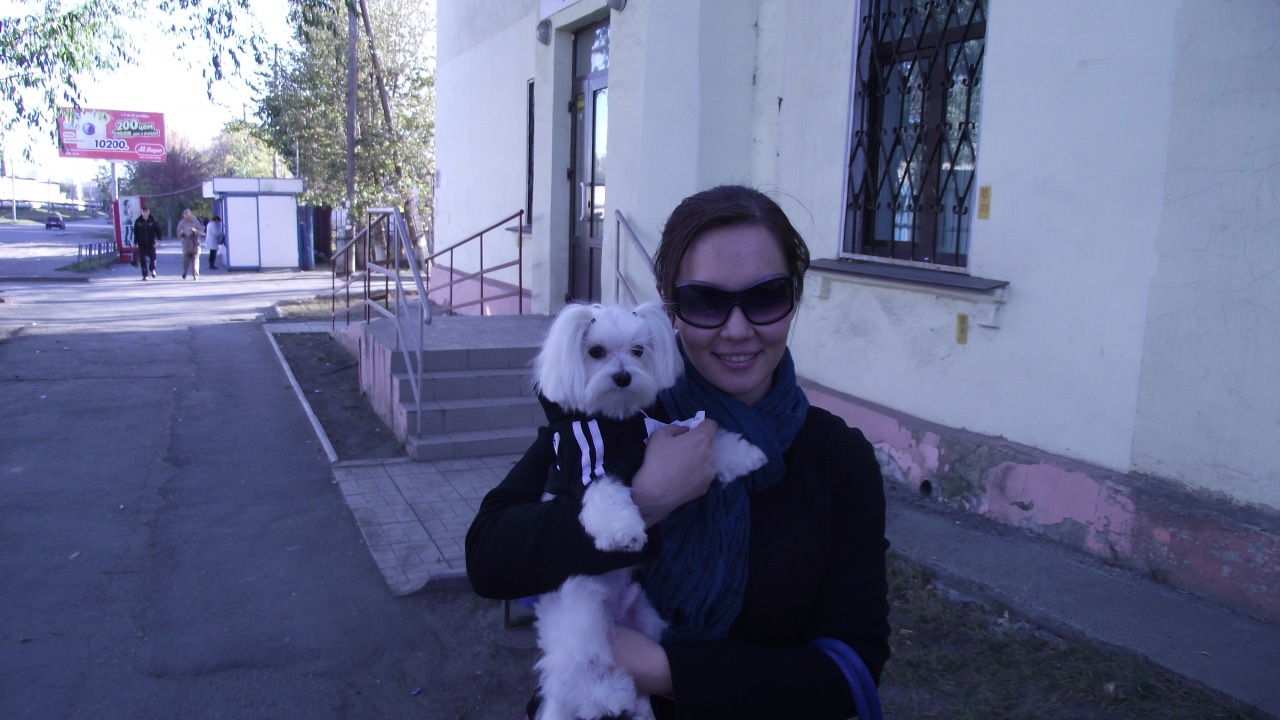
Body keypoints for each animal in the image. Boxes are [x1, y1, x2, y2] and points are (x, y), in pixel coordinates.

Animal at [530, 301, 767, 720]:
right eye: (595, 352)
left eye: (638, 351)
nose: (623, 376)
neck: (617, 420)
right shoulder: (590, 465)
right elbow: (607, 498)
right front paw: (623, 534)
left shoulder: (662, 428)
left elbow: (707, 438)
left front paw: (745, 455)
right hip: (581, 608)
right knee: (573, 669)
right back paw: (610, 694)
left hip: (646, 617)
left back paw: (639, 706)